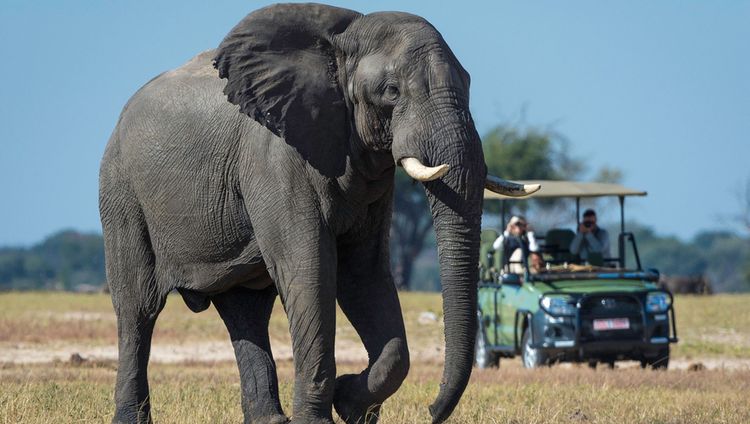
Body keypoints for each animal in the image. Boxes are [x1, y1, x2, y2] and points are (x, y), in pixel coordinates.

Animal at [100, 3, 540, 424]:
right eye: (391, 91)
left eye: (468, 83)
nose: (432, 411)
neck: (343, 38)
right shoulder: (274, 158)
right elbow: (311, 269)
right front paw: (323, 415)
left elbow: (364, 273)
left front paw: (350, 404)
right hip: (121, 191)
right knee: (138, 305)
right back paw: (132, 418)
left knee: (246, 311)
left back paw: (270, 420)